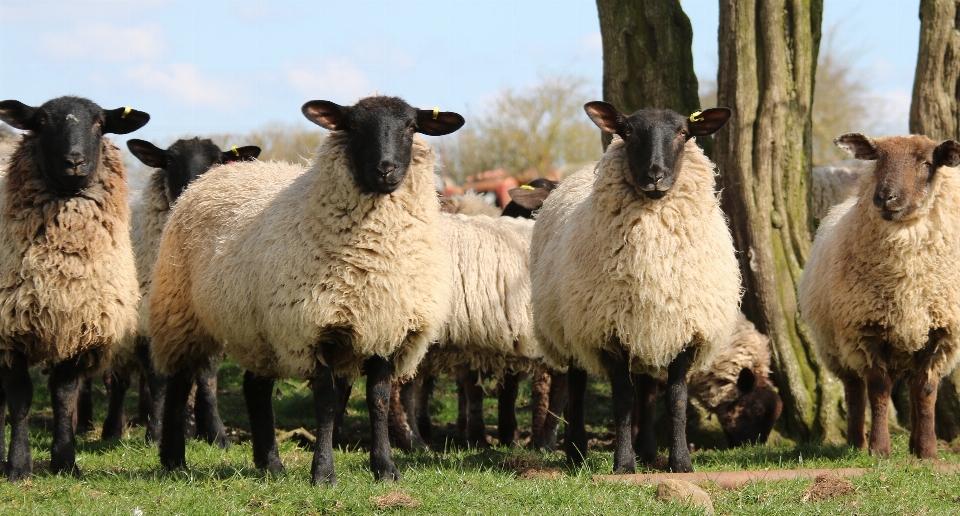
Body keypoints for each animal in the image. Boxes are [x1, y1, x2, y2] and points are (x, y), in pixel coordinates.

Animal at [0, 95, 150, 480]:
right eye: (40, 121)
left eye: (99, 123)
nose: (74, 161)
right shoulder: (10, 330)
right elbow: (20, 397)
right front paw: (18, 465)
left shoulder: (78, 327)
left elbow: (64, 396)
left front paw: (66, 461)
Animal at [89, 138, 258, 444]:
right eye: (168, 161)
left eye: (218, 161)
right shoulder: (145, 320)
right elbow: (156, 378)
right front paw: (156, 433)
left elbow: (207, 378)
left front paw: (217, 434)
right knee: (118, 381)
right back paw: (113, 430)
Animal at [148, 95, 464, 484]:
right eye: (352, 126)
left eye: (410, 126)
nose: (386, 169)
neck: (376, 262)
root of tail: (209, 178)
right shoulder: (316, 328)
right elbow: (326, 403)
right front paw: (324, 473)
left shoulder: (386, 326)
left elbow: (377, 398)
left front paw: (385, 468)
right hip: (181, 312)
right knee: (178, 382)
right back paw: (173, 458)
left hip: (258, 329)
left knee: (255, 387)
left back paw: (270, 463)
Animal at [528, 103, 740, 474]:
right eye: (627, 132)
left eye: (684, 133)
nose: (655, 175)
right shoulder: (609, 331)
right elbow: (623, 399)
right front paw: (624, 464)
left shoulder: (685, 330)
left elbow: (675, 398)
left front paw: (680, 462)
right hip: (574, 329)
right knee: (576, 386)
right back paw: (576, 451)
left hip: (648, 329)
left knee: (647, 387)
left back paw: (648, 451)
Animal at [800, 133, 960, 460]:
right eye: (877, 159)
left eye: (927, 163)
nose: (886, 197)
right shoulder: (865, 330)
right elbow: (878, 389)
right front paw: (879, 448)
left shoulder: (940, 333)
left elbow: (926, 391)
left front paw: (927, 452)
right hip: (836, 347)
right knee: (854, 390)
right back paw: (856, 443)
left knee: (912, 388)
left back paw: (912, 445)